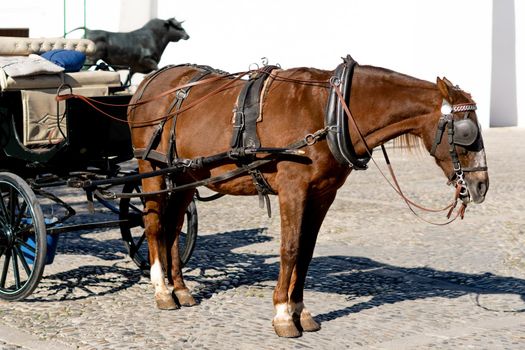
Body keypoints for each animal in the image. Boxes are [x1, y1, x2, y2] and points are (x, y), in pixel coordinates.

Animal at [126, 56, 488, 336]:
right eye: (466, 131)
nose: (481, 185)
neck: (330, 114)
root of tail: (149, 83)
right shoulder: (293, 190)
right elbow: (289, 249)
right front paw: (283, 316)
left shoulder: (323, 194)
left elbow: (306, 251)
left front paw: (300, 311)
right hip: (151, 169)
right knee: (155, 225)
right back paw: (162, 290)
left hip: (185, 174)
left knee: (174, 228)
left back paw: (180, 289)